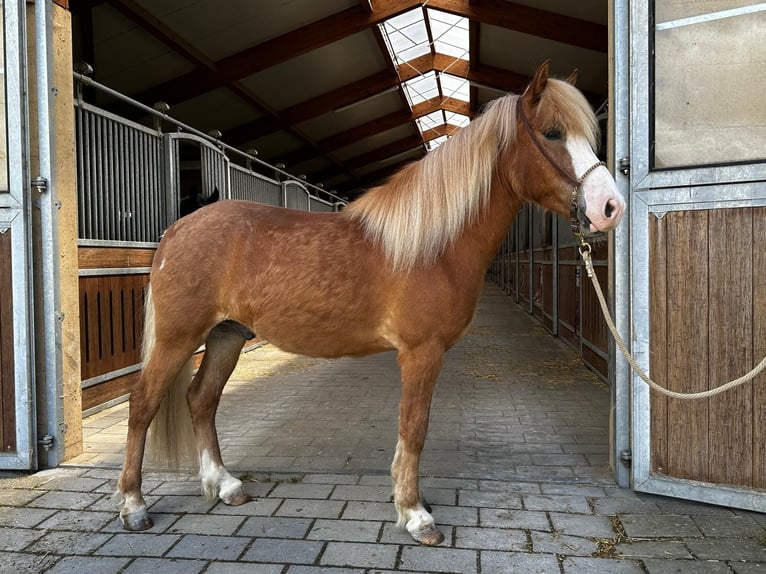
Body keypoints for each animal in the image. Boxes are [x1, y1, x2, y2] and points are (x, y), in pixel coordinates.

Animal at [118, 60, 624, 548]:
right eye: (552, 133)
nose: (609, 208)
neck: (433, 246)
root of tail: (177, 229)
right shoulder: (422, 353)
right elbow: (415, 427)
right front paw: (416, 515)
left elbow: (408, 433)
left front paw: (405, 499)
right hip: (178, 338)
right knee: (143, 404)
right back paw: (134, 506)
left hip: (226, 336)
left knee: (201, 400)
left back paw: (225, 486)